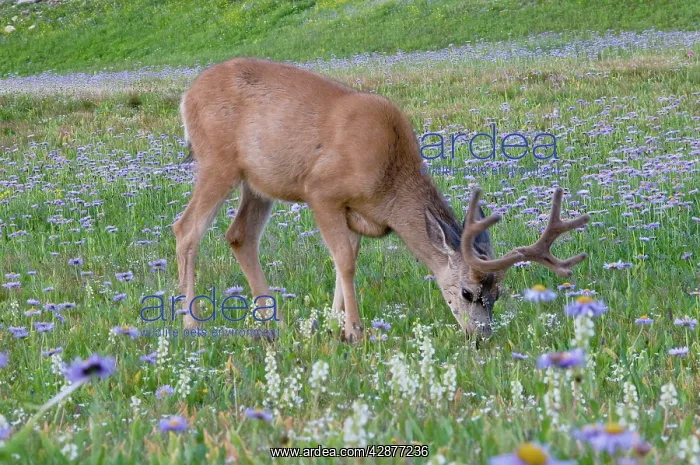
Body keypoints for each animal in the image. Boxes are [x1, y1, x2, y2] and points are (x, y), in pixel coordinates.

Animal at [173, 57, 591, 342]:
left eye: (498, 294)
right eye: (468, 292)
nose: (481, 337)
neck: (390, 180)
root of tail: (187, 95)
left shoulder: (356, 212)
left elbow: (347, 259)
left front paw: (333, 323)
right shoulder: (321, 190)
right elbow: (344, 260)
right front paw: (354, 332)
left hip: (258, 182)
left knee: (239, 235)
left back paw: (275, 322)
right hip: (218, 161)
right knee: (186, 228)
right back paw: (190, 323)